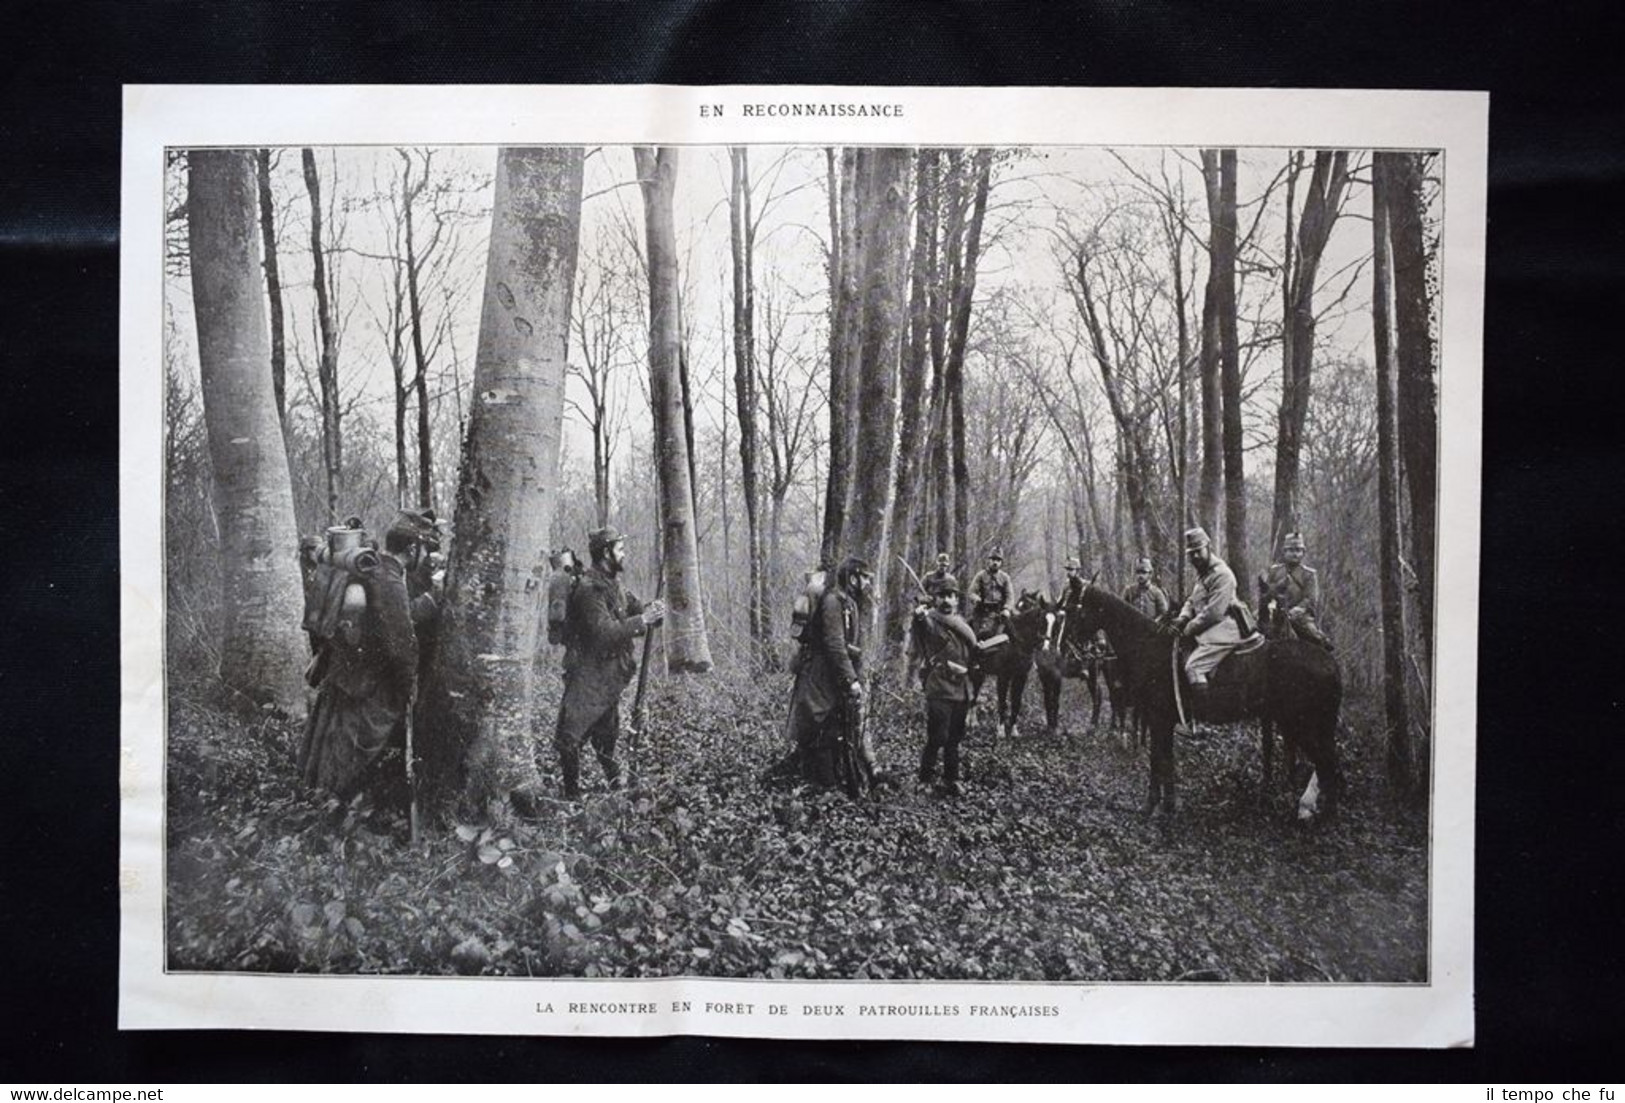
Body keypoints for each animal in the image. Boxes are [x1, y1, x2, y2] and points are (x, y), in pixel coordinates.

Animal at [968, 591, 1046, 747]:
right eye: (1020, 605)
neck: (1017, 642)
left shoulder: (1021, 677)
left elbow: (1016, 703)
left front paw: (1014, 731)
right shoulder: (1003, 677)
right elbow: (1003, 703)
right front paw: (1001, 732)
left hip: (980, 674)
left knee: (974, 695)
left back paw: (973, 721)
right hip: (974, 673)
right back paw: (969, 721)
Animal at [1066, 578, 1345, 818]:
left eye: (1071, 608)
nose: (1071, 649)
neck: (1149, 645)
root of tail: (1330, 663)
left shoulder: (1157, 719)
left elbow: (1158, 760)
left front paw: (1151, 806)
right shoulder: (1162, 720)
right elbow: (1165, 759)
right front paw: (1168, 805)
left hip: (1301, 725)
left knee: (1327, 762)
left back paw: (1322, 814)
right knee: (1327, 763)